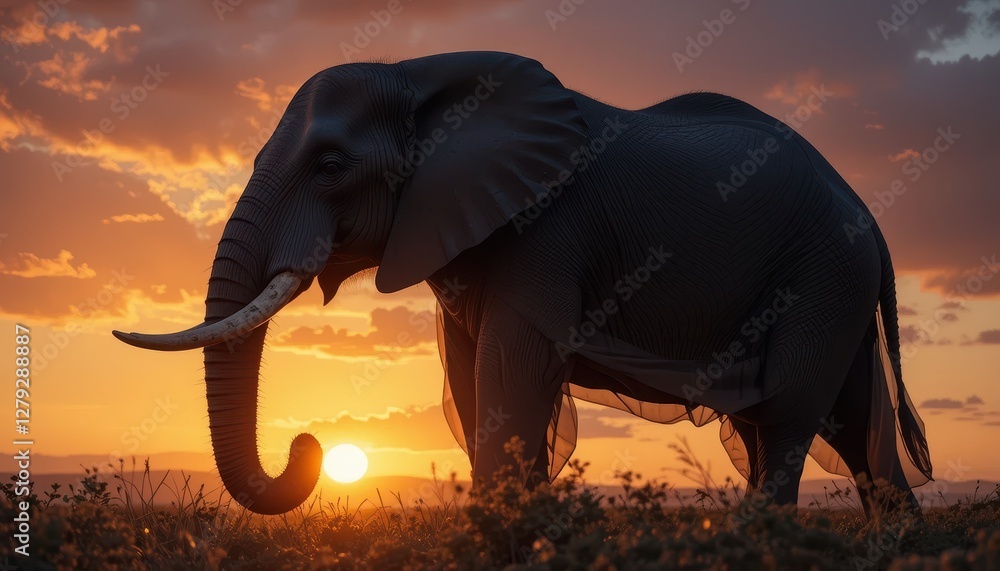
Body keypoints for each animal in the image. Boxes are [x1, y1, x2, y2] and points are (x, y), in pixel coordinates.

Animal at [113, 51, 933, 516]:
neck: (423, 76)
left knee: (790, 419)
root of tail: (874, 220)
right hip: (832, 285)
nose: (308, 444)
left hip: (822, 276)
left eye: (331, 164)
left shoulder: (549, 231)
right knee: (847, 438)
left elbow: (512, 375)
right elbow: (472, 378)